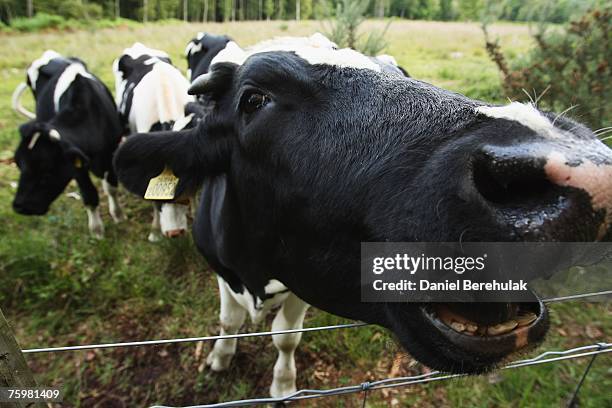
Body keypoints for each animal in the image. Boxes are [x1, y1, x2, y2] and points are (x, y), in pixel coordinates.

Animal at [11, 49, 123, 237]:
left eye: (47, 173)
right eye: (19, 165)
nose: (19, 207)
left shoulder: (111, 152)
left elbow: (112, 187)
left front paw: (118, 215)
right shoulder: (77, 168)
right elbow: (89, 194)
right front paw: (97, 230)